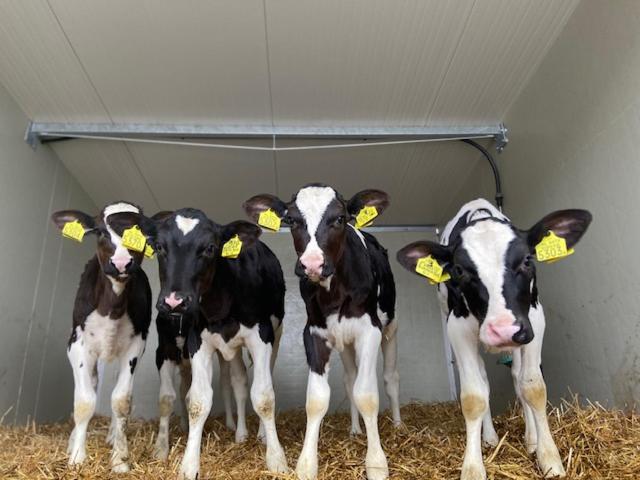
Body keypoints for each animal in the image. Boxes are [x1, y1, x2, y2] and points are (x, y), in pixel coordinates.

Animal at [51, 201, 153, 473]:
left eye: (143, 231)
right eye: (99, 232)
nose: (121, 263)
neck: (112, 305)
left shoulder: (136, 346)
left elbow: (121, 401)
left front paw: (120, 458)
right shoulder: (76, 344)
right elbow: (85, 401)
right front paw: (77, 456)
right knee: (92, 384)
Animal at [148, 208, 288, 480]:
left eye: (210, 248)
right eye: (159, 246)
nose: (174, 301)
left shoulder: (261, 335)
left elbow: (264, 397)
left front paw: (277, 460)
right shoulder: (195, 343)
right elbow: (197, 401)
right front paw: (188, 465)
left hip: (276, 334)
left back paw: (259, 435)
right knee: (237, 381)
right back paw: (239, 432)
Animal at [244, 184, 399, 480]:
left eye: (339, 218)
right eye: (292, 220)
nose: (312, 264)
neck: (333, 292)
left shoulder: (370, 330)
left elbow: (367, 395)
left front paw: (376, 464)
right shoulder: (314, 333)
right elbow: (316, 399)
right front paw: (306, 465)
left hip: (390, 327)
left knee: (388, 378)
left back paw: (398, 425)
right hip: (345, 342)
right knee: (350, 379)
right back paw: (355, 429)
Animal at [396, 198, 592, 480]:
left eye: (527, 260)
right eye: (459, 270)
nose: (503, 330)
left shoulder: (535, 318)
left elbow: (533, 387)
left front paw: (548, 457)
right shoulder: (458, 328)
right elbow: (474, 397)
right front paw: (473, 467)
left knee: (518, 377)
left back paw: (531, 439)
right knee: (483, 380)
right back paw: (489, 437)